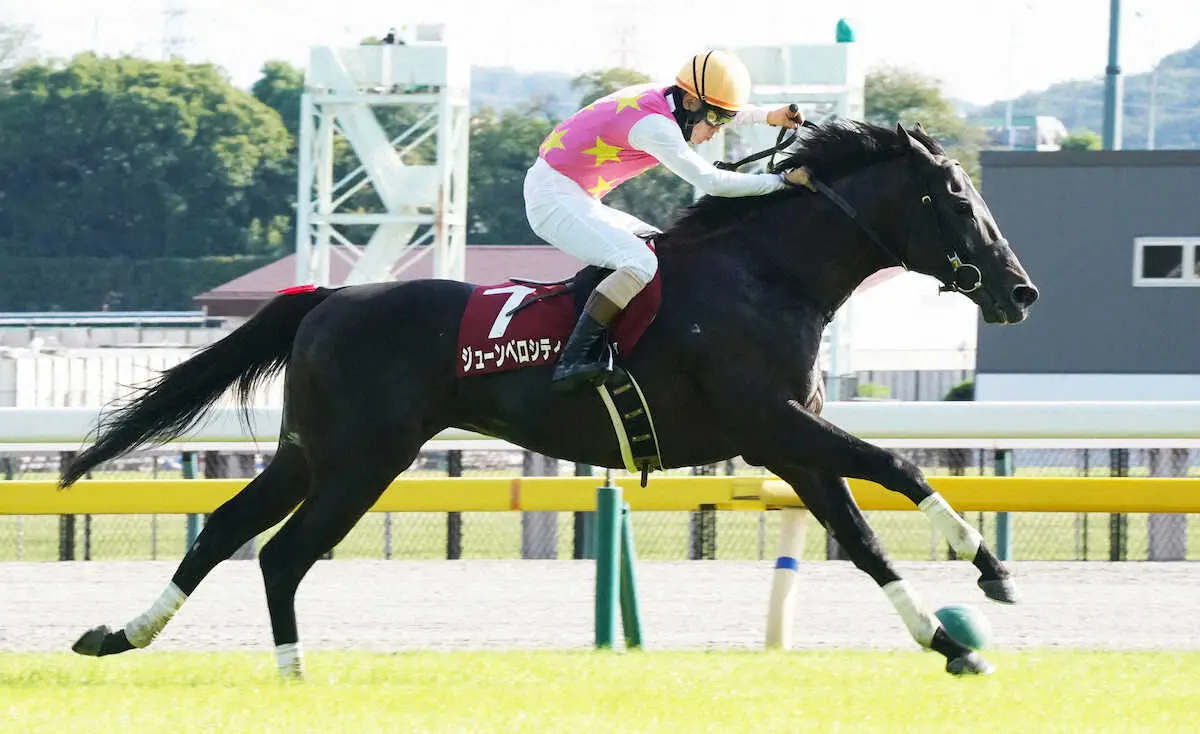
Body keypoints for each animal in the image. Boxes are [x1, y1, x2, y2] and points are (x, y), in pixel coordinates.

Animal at [60, 118, 1041, 676]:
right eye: (959, 201)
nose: (1020, 291)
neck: (766, 275)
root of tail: (330, 297)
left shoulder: (788, 442)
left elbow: (864, 537)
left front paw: (951, 645)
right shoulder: (773, 423)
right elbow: (899, 466)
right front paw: (987, 568)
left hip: (311, 453)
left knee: (228, 527)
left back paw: (118, 634)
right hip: (361, 462)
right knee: (281, 553)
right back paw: (294, 672)